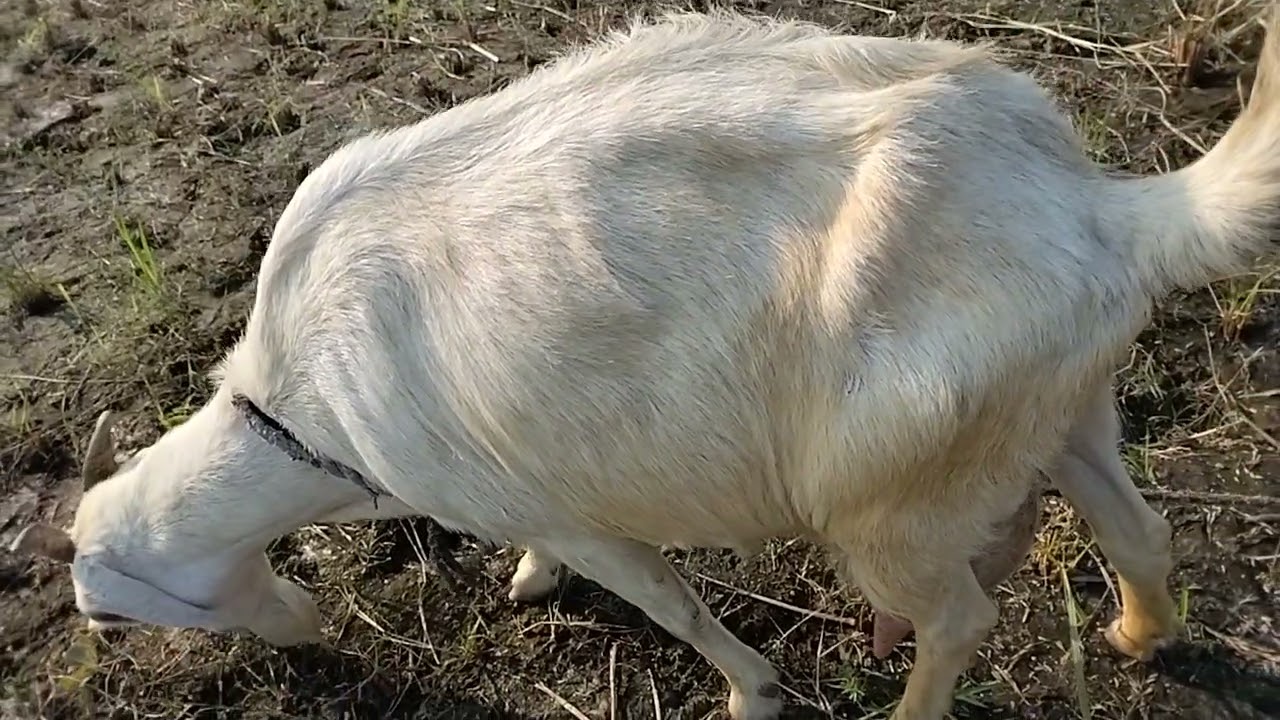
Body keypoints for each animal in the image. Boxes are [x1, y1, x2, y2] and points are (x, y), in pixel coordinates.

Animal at [11, 7, 1280, 719]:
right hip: (1057, 403)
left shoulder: (558, 506)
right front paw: (528, 584)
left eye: (108, 619)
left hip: (890, 500)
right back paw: (1136, 636)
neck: (296, 405)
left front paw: (749, 695)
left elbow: (668, 602)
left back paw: (910, 711)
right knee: (1135, 528)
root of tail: (1090, 210)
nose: (305, 636)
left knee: (955, 616)